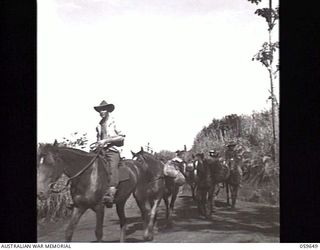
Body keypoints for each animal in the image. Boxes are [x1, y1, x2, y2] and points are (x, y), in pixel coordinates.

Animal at [37, 143, 165, 242]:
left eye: (51, 163)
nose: (40, 193)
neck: (88, 175)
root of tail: (140, 168)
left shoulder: (99, 207)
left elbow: (98, 233)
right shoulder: (79, 207)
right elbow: (69, 232)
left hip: (139, 195)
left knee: (147, 211)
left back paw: (148, 235)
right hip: (121, 201)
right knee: (124, 221)